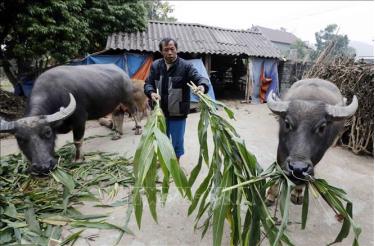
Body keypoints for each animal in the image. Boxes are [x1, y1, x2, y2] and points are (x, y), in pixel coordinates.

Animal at [0, 63, 140, 175]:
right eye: (19, 138)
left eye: (47, 132)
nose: (42, 167)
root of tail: (122, 72)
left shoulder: (80, 120)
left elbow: (77, 141)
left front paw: (78, 159)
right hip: (116, 103)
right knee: (118, 115)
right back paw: (118, 133)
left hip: (128, 99)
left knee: (134, 112)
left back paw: (138, 129)